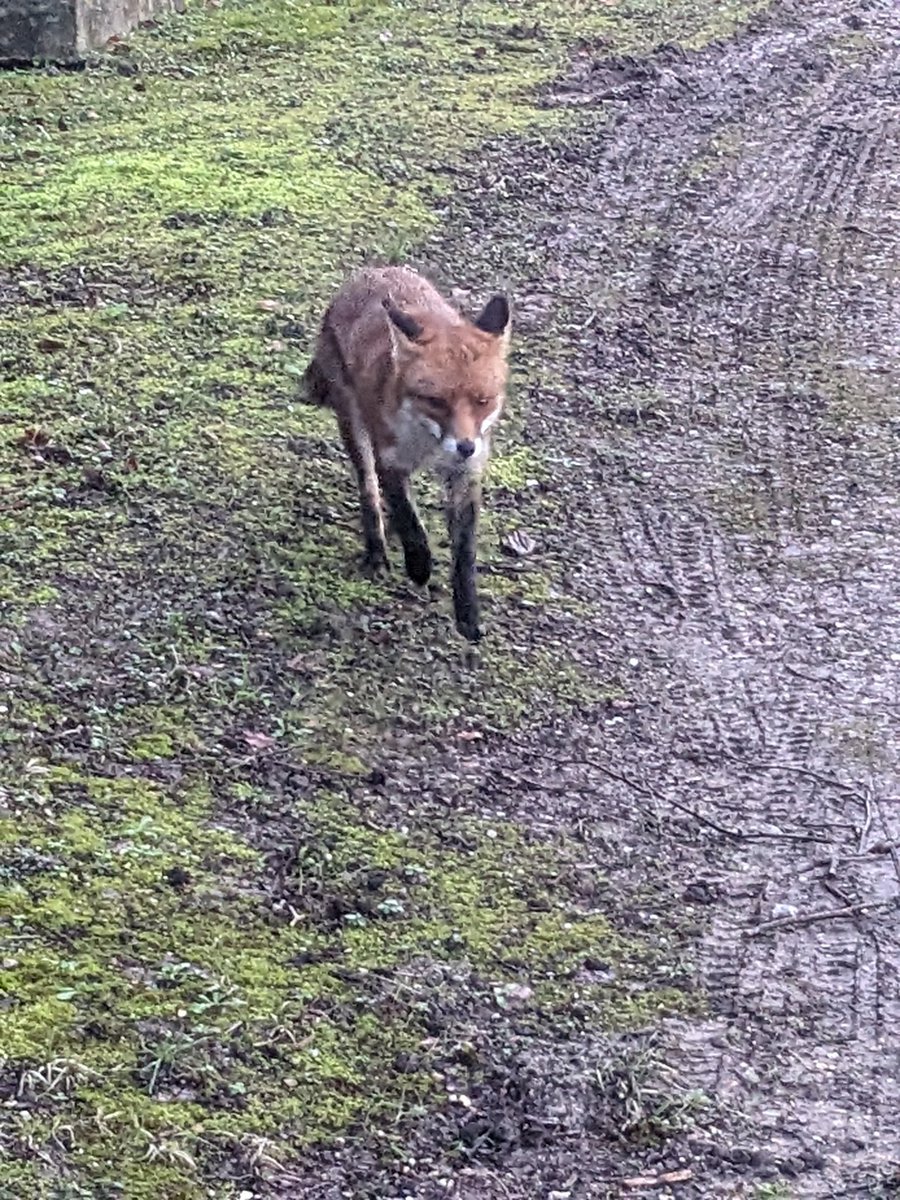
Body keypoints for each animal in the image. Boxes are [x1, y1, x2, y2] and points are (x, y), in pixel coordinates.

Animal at [303, 267, 511, 643]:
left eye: (483, 401)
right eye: (437, 401)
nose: (465, 446)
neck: (427, 442)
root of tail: (373, 271)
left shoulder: (466, 473)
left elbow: (465, 551)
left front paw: (468, 614)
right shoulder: (390, 459)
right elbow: (408, 519)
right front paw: (419, 566)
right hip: (355, 427)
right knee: (369, 490)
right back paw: (377, 552)